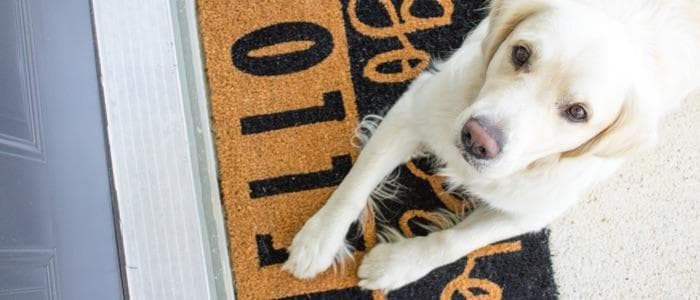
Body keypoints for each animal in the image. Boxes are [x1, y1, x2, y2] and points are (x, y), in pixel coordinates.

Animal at [282, 0, 696, 290]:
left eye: (578, 112)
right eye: (520, 53)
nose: (477, 139)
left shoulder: (533, 212)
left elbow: (454, 241)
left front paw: (398, 264)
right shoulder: (416, 107)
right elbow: (357, 182)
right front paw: (319, 238)